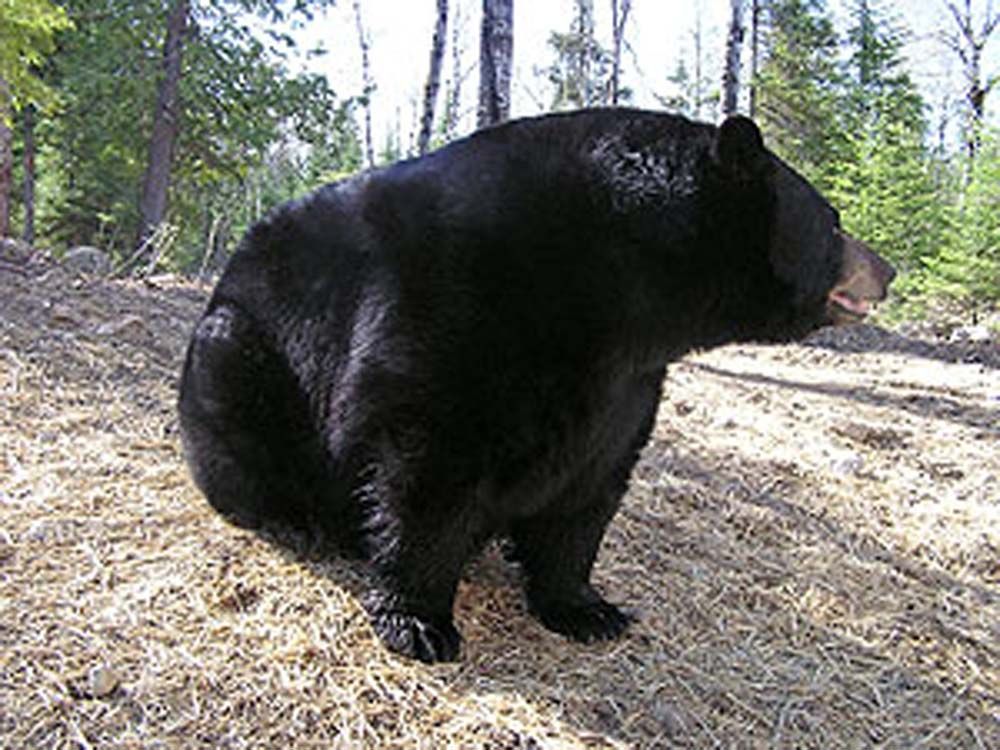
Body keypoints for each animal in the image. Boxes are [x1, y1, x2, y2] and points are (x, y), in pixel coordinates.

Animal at [178, 109, 894, 663]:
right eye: (832, 221)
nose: (887, 269)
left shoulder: (623, 385)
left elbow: (590, 487)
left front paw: (585, 607)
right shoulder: (448, 310)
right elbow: (426, 465)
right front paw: (420, 621)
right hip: (236, 352)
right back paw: (293, 517)